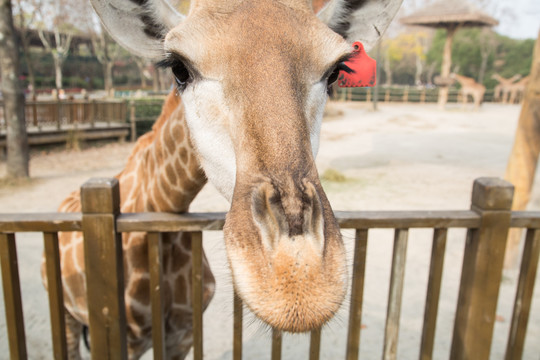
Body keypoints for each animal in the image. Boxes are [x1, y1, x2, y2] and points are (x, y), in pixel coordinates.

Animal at [44, 0, 402, 358]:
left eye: (334, 73)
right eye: (179, 68)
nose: (299, 280)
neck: (156, 204)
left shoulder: (183, 335)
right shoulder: (126, 340)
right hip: (67, 316)